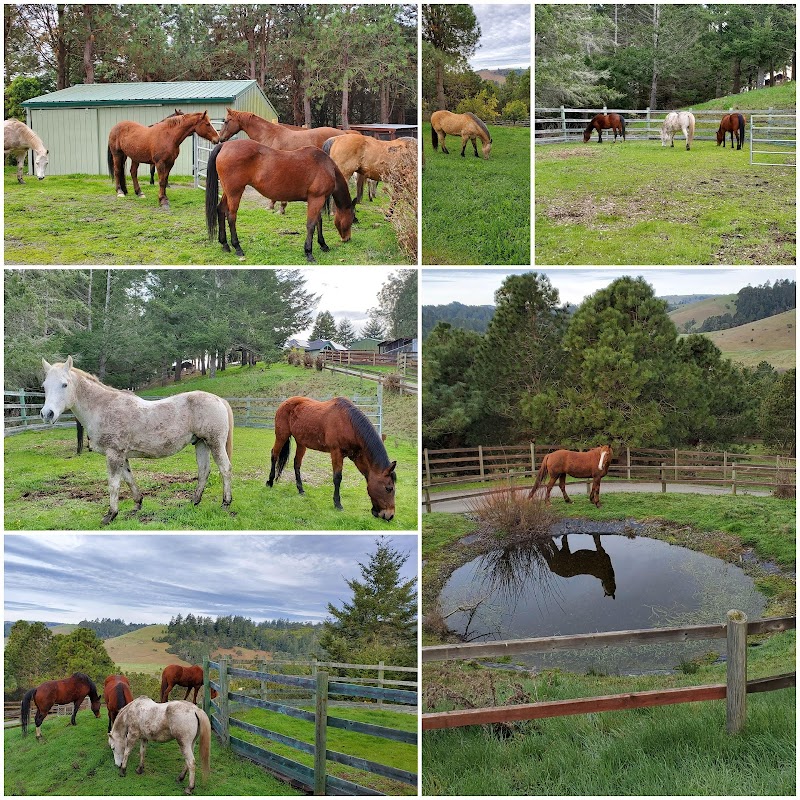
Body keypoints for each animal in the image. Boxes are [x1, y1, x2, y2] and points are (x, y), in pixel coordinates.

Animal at [40, 357, 233, 525]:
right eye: (44, 386)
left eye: (64, 384)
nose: (47, 414)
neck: (103, 408)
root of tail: (219, 399)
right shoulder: (122, 456)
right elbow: (128, 479)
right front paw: (137, 504)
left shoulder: (113, 454)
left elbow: (114, 484)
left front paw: (110, 515)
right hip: (200, 443)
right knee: (204, 471)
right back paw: (194, 501)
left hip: (215, 443)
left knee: (225, 469)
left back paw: (225, 503)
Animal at [204, 138, 354, 263]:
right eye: (352, 219)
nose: (347, 239)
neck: (326, 166)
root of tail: (225, 145)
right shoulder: (316, 199)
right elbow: (311, 225)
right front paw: (309, 252)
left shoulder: (316, 200)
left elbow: (318, 221)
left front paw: (323, 244)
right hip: (235, 192)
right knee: (231, 216)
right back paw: (237, 247)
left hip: (228, 192)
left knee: (221, 210)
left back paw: (225, 244)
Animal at [266, 396, 396, 520]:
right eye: (388, 488)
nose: (390, 515)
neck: (348, 423)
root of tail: (284, 403)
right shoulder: (336, 453)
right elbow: (337, 478)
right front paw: (338, 504)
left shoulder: (355, 456)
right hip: (281, 435)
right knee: (274, 455)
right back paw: (270, 482)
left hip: (301, 442)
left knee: (296, 463)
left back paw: (301, 489)